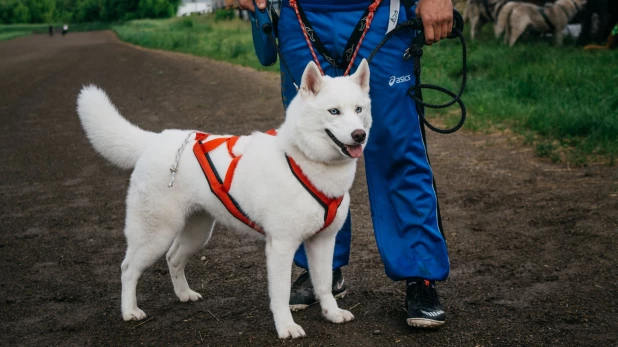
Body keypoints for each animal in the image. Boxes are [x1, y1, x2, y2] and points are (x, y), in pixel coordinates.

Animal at [76, 60, 370, 340]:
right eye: (334, 111)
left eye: (358, 110)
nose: (360, 135)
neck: (303, 159)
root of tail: (155, 140)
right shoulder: (281, 246)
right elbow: (281, 295)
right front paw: (286, 327)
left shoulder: (323, 241)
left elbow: (324, 285)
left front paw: (332, 313)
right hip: (155, 235)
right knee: (128, 268)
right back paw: (129, 311)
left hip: (197, 233)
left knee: (173, 258)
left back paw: (184, 294)